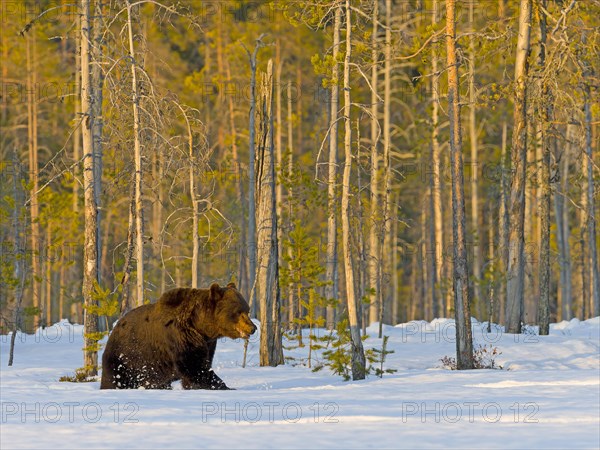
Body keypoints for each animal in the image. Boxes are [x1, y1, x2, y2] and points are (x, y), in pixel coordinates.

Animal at [101, 282, 255, 390]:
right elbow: (194, 367)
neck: (201, 327)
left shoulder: (208, 343)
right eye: (238, 311)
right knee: (114, 380)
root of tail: (114, 329)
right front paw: (225, 386)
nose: (253, 328)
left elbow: (201, 364)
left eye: (247, 310)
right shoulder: (180, 336)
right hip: (123, 358)